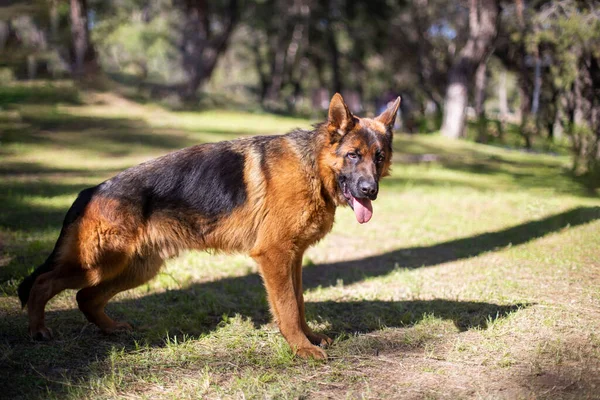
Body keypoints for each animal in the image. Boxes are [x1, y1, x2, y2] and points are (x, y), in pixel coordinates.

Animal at [18, 94, 400, 360]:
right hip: (98, 263)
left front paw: (309, 338)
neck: (313, 167)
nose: (370, 191)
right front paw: (301, 348)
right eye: (353, 155)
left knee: (85, 297)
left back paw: (111, 329)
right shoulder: (274, 256)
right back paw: (37, 330)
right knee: (43, 283)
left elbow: (299, 303)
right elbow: (288, 309)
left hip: (134, 269)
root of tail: (91, 190)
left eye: (378, 158)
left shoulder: (293, 258)